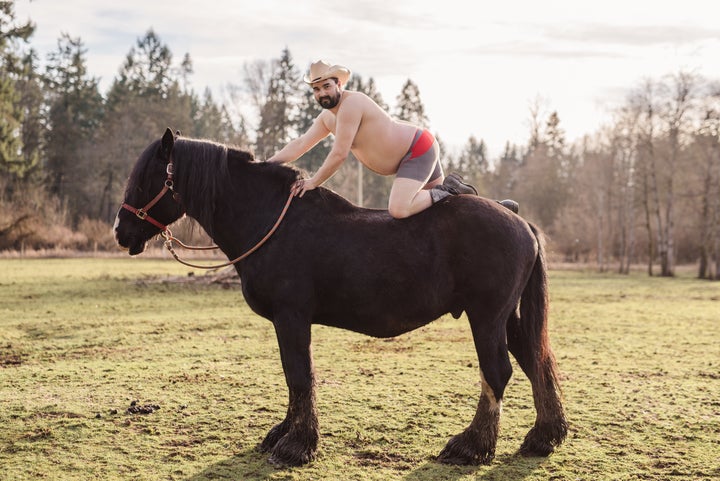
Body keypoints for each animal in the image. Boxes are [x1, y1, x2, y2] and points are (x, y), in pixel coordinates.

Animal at [114, 127, 568, 464]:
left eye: (146, 178)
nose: (121, 231)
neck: (272, 222)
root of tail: (519, 220)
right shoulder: (288, 322)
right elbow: (295, 378)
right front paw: (285, 434)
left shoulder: (291, 317)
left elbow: (299, 376)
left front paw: (296, 446)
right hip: (508, 318)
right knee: (535, 362)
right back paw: (543, 437)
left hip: (486, 317)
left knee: (498, 372)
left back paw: (471, 446)